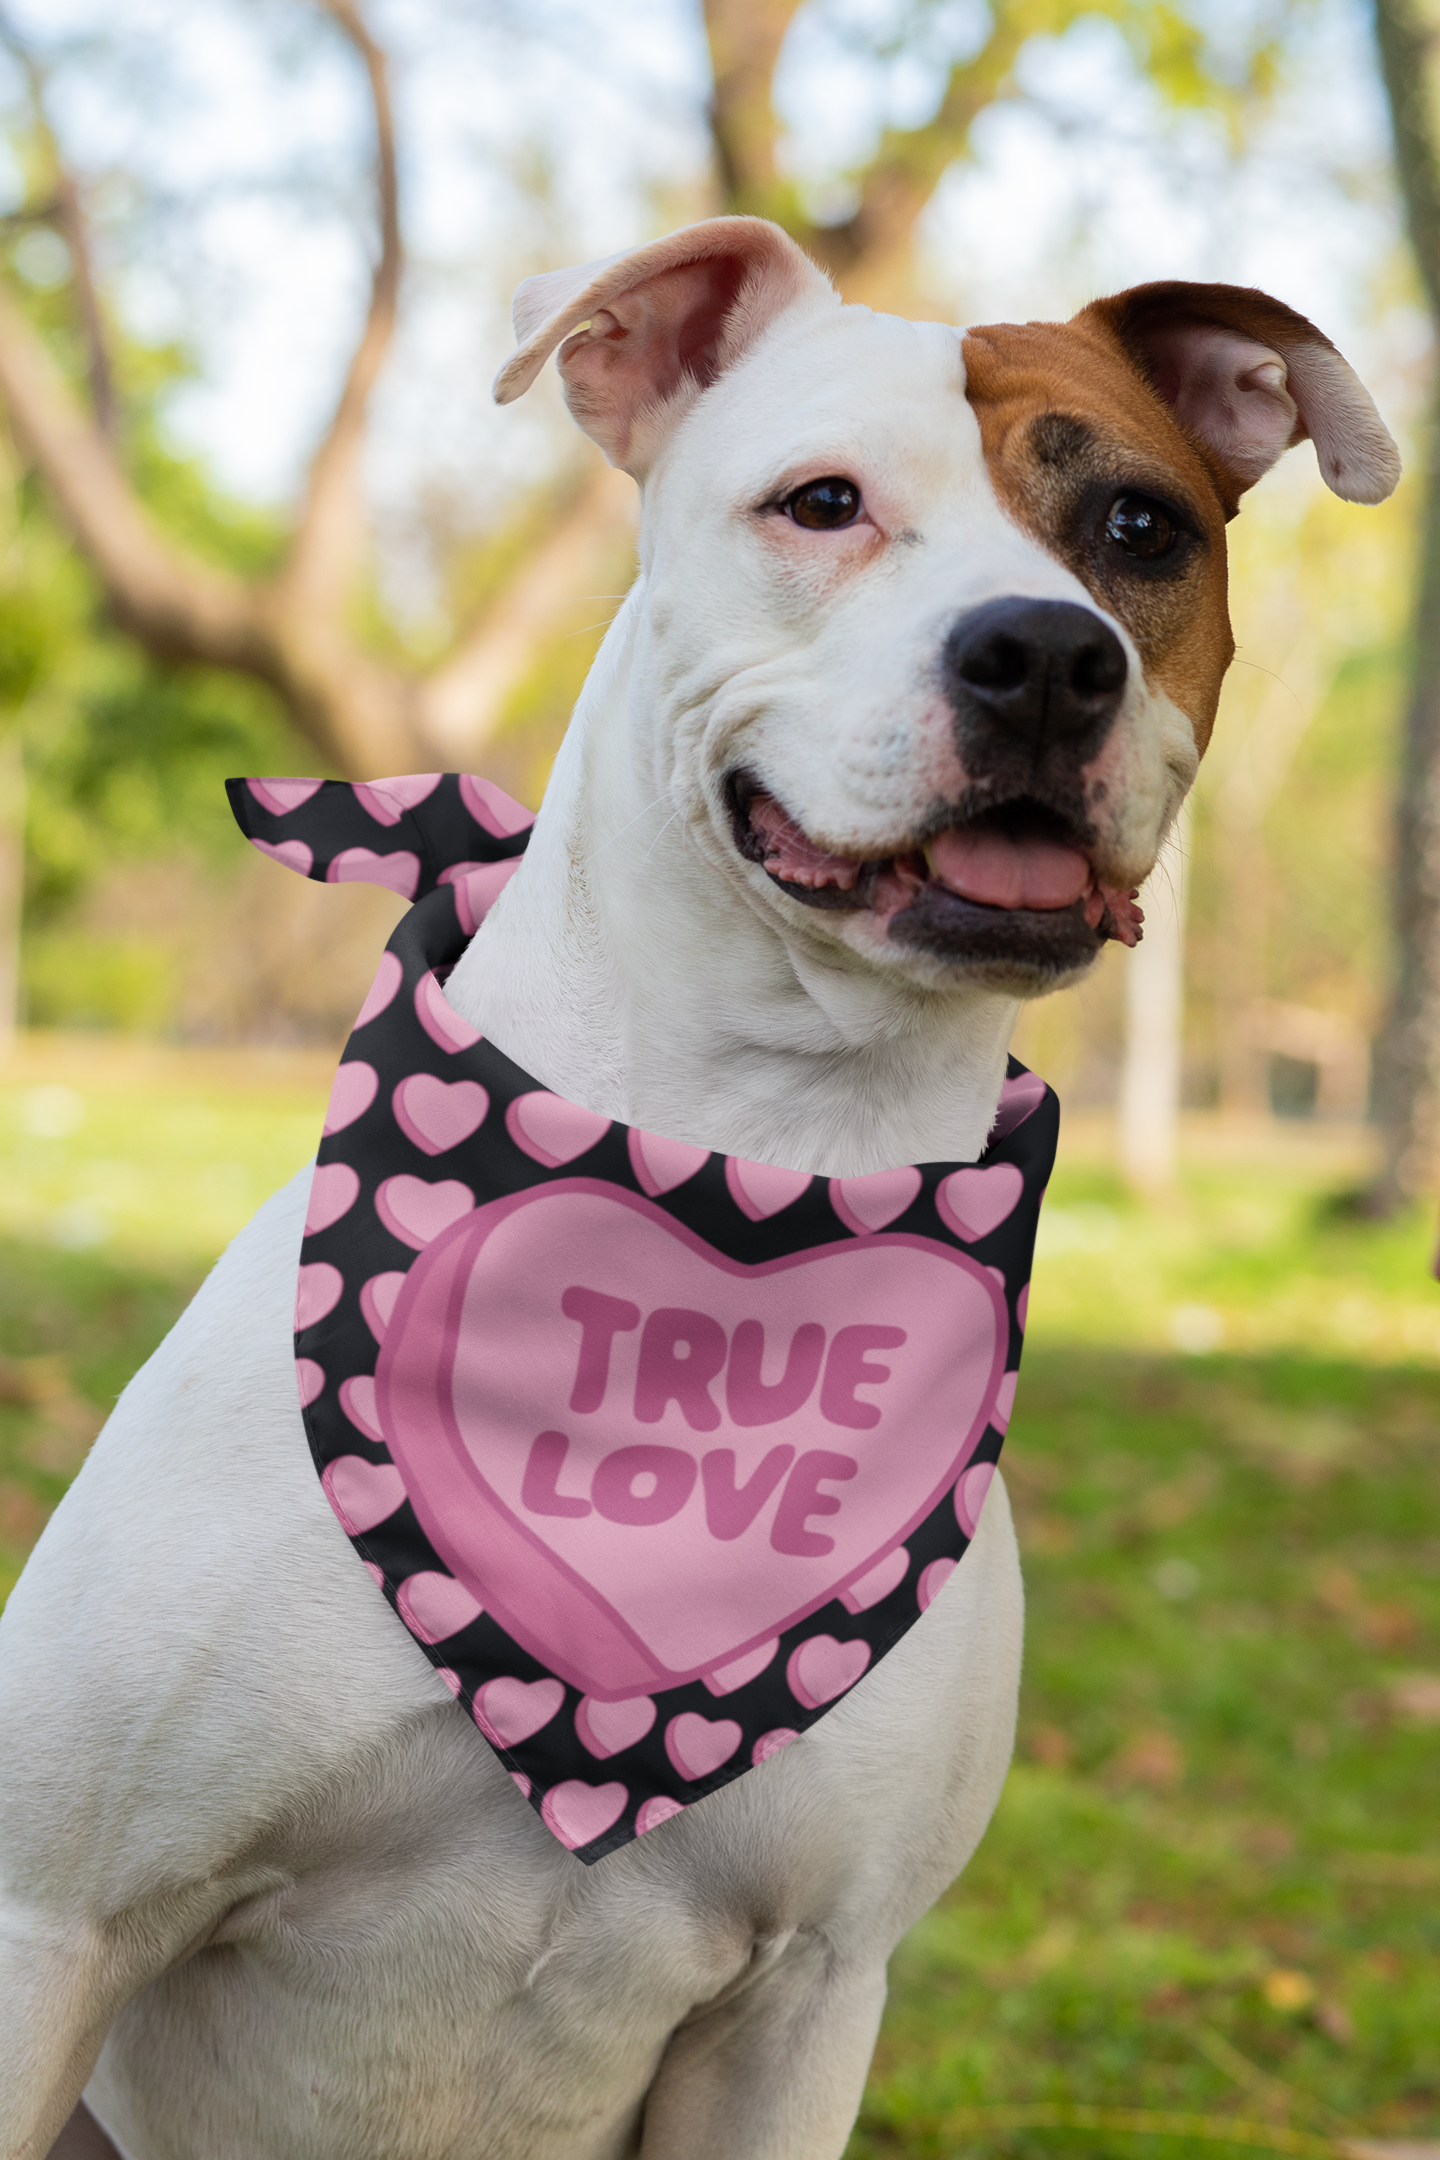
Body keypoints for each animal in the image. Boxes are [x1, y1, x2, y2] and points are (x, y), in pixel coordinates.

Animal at [0, 214, 1398, 2160]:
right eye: (820, 503)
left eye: (1139, 527)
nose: (1048, 654)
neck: (759, 1148)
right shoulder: (59, 1919)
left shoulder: (807, 1995)